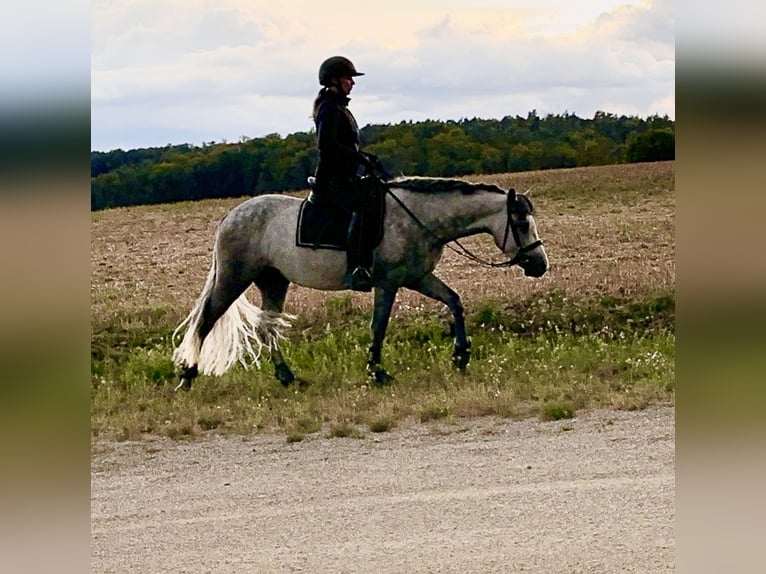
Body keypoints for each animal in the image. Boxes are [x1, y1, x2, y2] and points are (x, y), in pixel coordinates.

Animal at [172, 177, 548, 392]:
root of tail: (231, 216)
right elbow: (378, 326)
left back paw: (288, 377)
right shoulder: (389, 282)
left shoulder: (417, 278)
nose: (540, 265)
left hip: (273, 282)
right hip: (235, 278)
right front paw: (377, 372)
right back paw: (187, 376)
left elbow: (454, 301)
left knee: (268, 328)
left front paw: (460, 355)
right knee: (206, 322)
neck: (418, 218)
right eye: (521, 223)